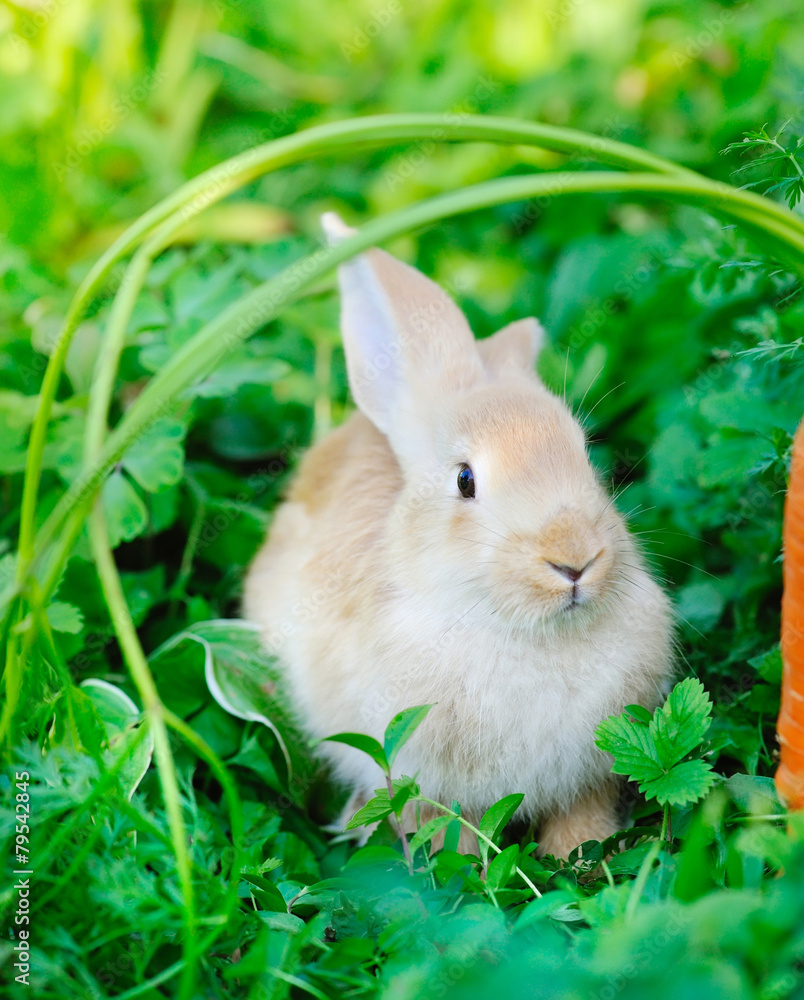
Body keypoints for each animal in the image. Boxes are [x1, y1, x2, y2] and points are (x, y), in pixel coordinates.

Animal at [242, 212, 674, 859]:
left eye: (585, 457)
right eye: (465, 480)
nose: (574, 560)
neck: (521, 634)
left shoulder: (589, 775)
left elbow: (582, 816)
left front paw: (577, 854)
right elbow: (453, 836)